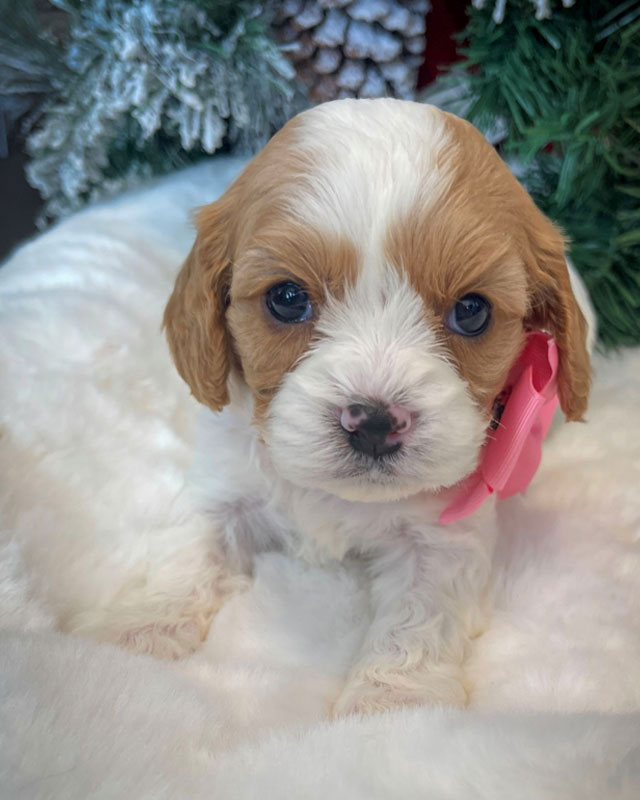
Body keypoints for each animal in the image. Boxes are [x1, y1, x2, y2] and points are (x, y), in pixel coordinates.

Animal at [161, 97, 592, 716]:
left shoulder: (442, 541)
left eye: (472, 311)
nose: (374, 423)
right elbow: (182, 555)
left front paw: (390, 708)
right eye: (286, 298)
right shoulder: (222, 489)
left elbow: (415, 624)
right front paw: (133, 640)